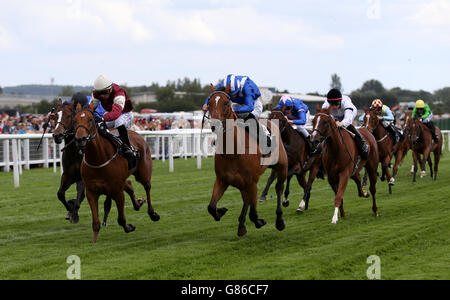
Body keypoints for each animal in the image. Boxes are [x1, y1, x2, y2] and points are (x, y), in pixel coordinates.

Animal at [72, 103, 160, 244]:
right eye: (74, 120)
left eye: (90, 119)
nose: (80, 139)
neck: (98, 158)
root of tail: (136, 134)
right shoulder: (91, 192)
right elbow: (95, 223)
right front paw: (95, 242)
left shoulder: (117, 192)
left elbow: (121, 219)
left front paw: (129, 227)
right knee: (129, 185)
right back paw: (138, 203)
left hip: (143, 173)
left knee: (147, 187)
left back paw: (152, 213)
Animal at [205, 84, 288, 237]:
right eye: (209, 103)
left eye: (226, 103)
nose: (215, 125)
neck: (233, 152)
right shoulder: (222, 180)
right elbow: (211, 207)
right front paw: (221, 211)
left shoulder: (252, 182)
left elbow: (254, 214)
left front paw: (260, 221)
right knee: (246, 199)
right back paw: (241, 225)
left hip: (282, 167)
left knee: (278, 188)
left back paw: (279, 220)